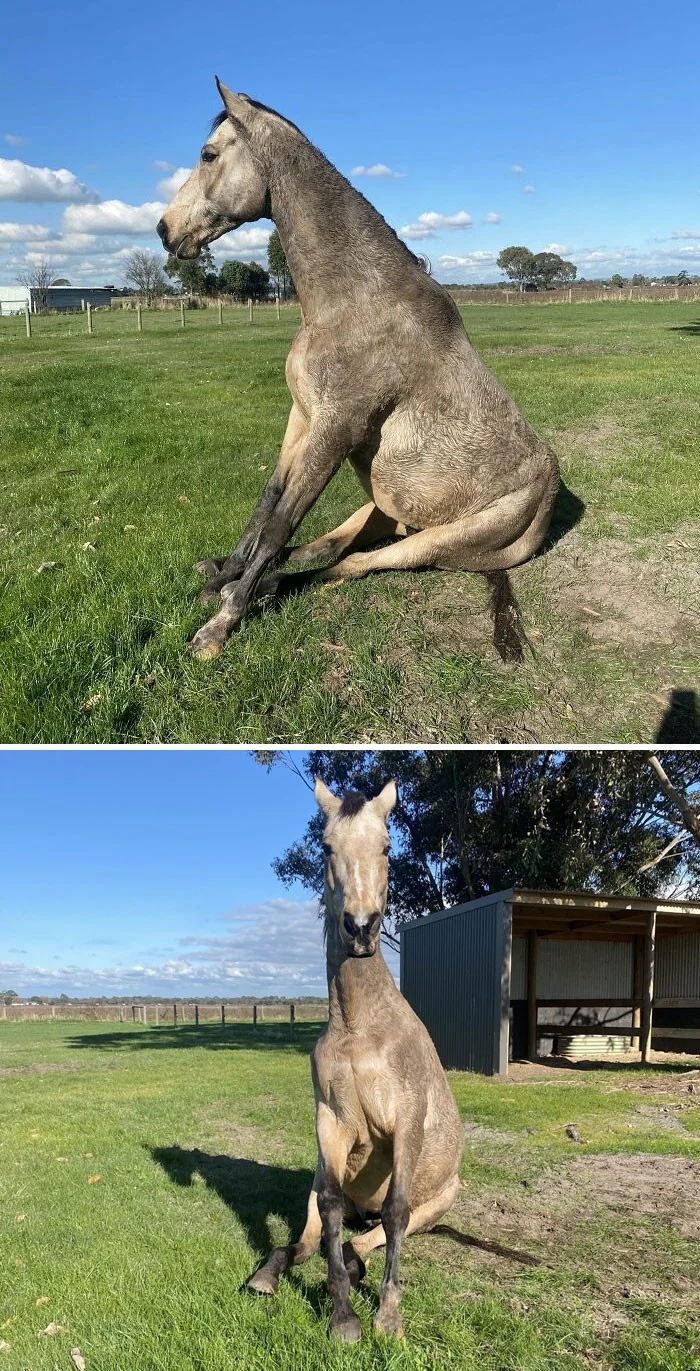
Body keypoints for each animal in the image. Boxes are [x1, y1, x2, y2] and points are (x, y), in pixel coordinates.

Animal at [157, 78, 558, 658]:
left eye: (208, 155)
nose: (165, 231)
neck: (353, 299)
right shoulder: (303, 417)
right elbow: (269, 503)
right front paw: (227, 573)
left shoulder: (337, 426)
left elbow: (279, 524)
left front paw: (221, 624)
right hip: (377, 511)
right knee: (326, 546)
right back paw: (230, 573)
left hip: (431, 544)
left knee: (345, 565)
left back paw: (260, 587)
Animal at [246, 778, 465, 1343]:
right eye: (326, 847)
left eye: (387, 847)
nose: (362, 927)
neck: (359, 1029)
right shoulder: (331, 1120)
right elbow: (328, 1207)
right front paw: (343, 1314)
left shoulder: (407, 1118)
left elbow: (395, 1211)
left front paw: (387, 1315)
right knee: (314, 1235)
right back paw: (268, 1274)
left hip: (437, 1203)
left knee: (373, 1234)